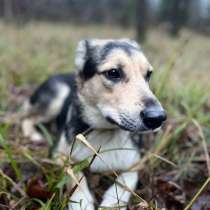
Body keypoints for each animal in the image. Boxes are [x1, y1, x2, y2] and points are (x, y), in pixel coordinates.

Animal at [20, 38, 166, 209]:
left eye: (148, 74)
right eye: (113, 73)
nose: (157, 118)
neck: (106, 130)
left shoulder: (136, 164)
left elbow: (126, 182)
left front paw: (112, 204)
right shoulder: (58, 154)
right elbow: (74, 174)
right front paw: (81, 201)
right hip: (55, 100)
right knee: (27, 118)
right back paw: (33, 135)